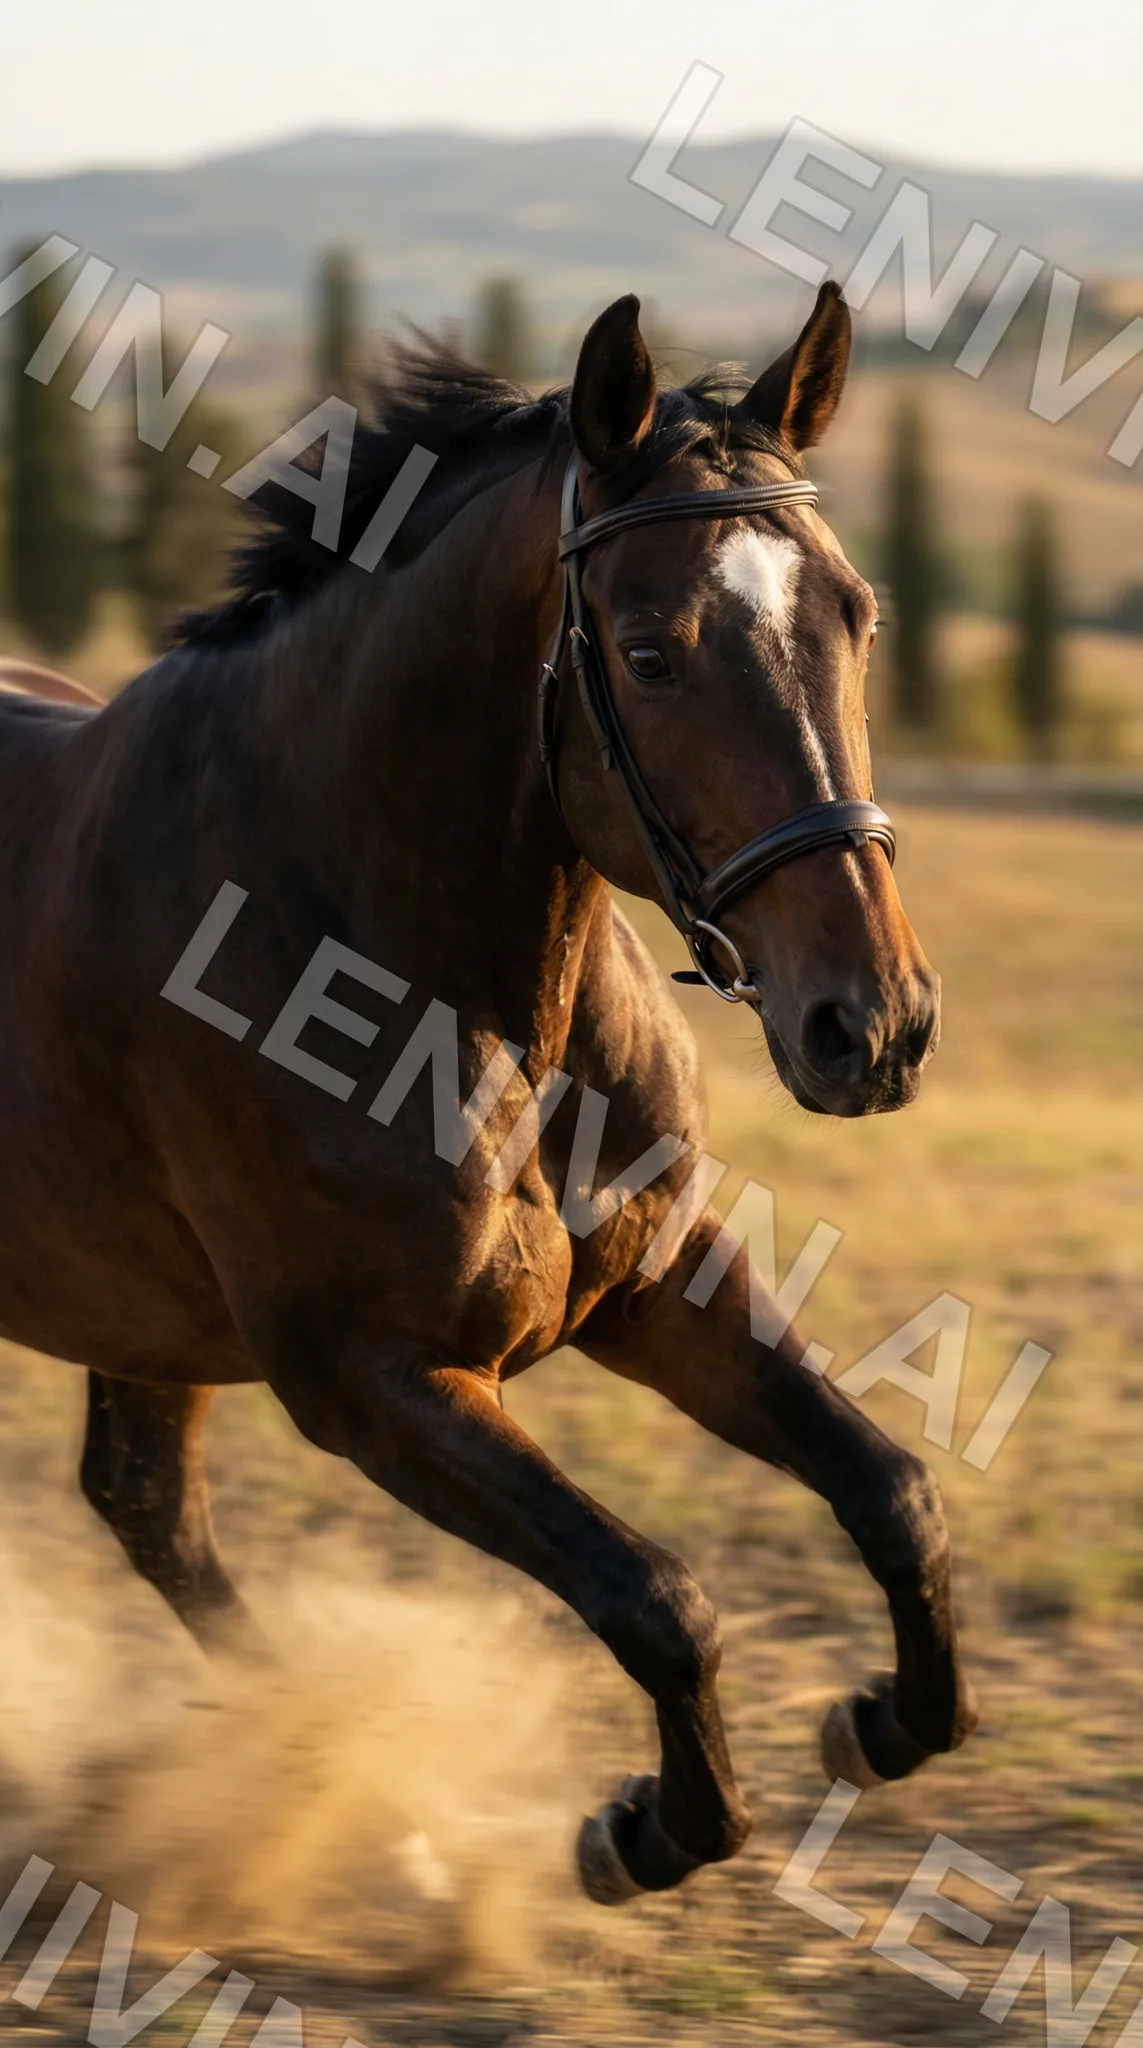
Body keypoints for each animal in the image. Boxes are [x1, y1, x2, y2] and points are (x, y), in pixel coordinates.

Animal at [0, 279, 976, 1905]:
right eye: (647, 650)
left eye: (855, 613)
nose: (874, 1026)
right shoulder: (378, 1383)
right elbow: (657, 1597)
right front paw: (643, 1831)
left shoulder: (652, 1283)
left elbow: (888, 1487)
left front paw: (885, 1721)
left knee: (146, 1509)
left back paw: (382, 1825)